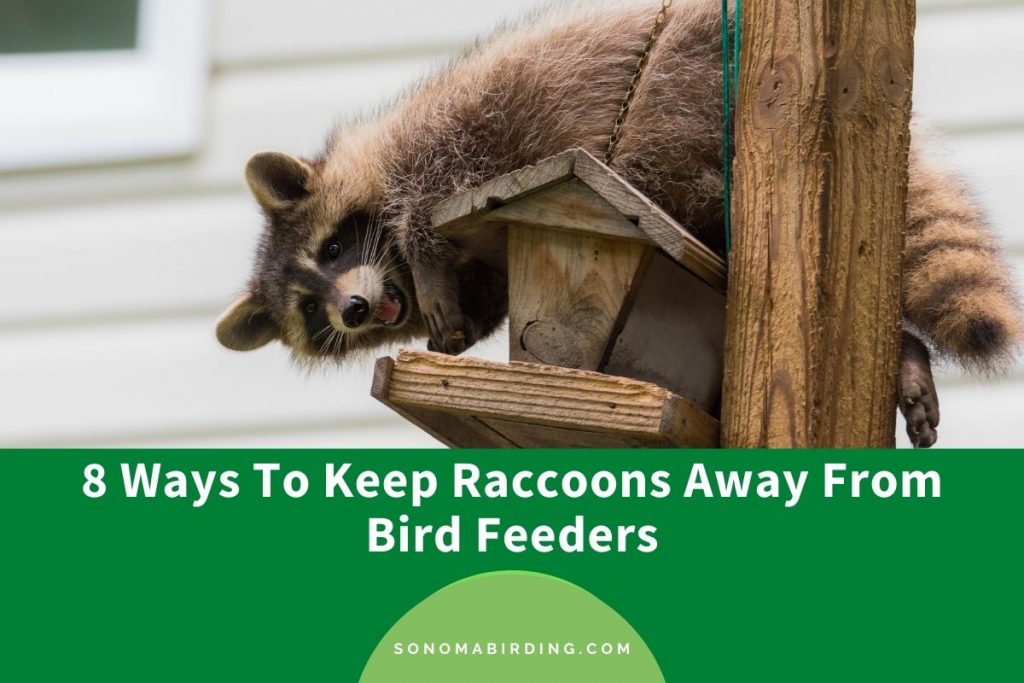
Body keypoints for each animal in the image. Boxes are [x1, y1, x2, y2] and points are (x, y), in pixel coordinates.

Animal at [216, 0, 1021, 448]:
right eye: (310, 311)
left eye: (333, 246)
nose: (352, 309)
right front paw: (456, 323)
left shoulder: (444, 137)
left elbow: (426, 201)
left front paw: (426, 253)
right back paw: (907, 353)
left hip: (687, 91)